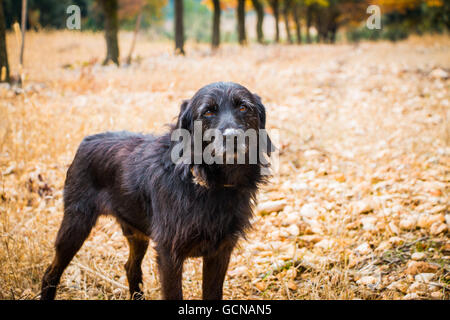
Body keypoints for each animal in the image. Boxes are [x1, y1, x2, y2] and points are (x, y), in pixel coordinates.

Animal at [41, 81, 274, 298]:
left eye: (243, 107)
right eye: (208, 112)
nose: (233, 137)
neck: (212, 185)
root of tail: (85, 141)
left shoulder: (220, 252)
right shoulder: (169, 254)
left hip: (136, 234)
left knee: (131, 268)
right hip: (75, 226)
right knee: (51, 272)